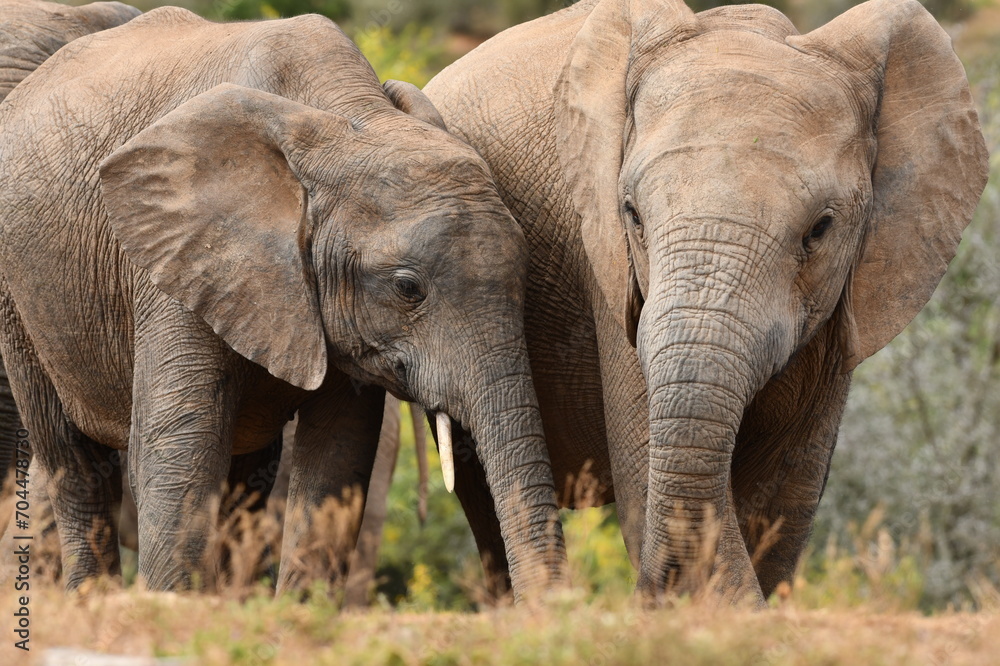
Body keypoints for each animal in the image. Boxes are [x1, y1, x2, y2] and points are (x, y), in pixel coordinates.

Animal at [424, 0, 988, 604]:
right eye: (632, 214)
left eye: (819, 230)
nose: (649, 595)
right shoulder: (608, 271)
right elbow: (646, 466)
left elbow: (786, 498)